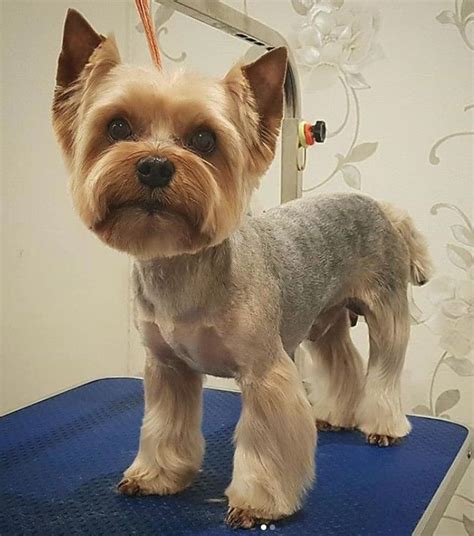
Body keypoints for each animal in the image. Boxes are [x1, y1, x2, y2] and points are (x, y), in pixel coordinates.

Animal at [52, 9, 434, 532]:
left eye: (203, 139)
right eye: (118, 127)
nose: (154, 166)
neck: (184, 267)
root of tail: (381, 206)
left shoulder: (266, 371)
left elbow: (267, 442)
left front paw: (258, 502)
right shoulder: (167, 367)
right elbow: (164, 425)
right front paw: (157, 475)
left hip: (387, 307)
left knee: (385, 367)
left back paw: (384, 426)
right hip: (325, 318)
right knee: (342, 360)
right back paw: (336, 413)